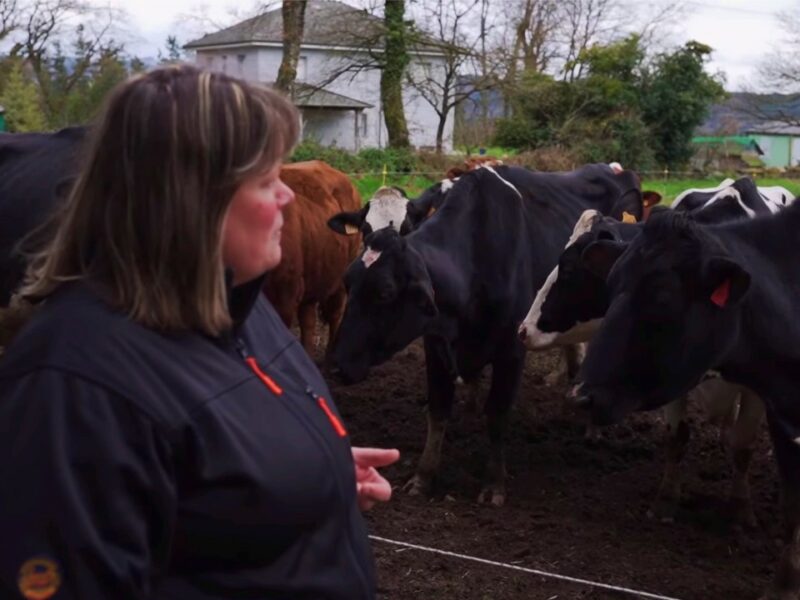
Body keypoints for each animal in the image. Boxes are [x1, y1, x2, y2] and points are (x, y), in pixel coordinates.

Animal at [330, 162, 644, 504]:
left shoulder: (513, 349)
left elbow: (497, 413)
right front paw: (424, 476)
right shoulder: (436, 344)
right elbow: (438, 412)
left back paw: (592, 427)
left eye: (385, 292)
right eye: (347, 281)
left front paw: (494, 483)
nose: (336, 364)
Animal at [572, 204, 800, 600]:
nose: (584, 395)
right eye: (611, 286)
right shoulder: (782, 420)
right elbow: (793, 507)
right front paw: (784, 587)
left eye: (662, 299)